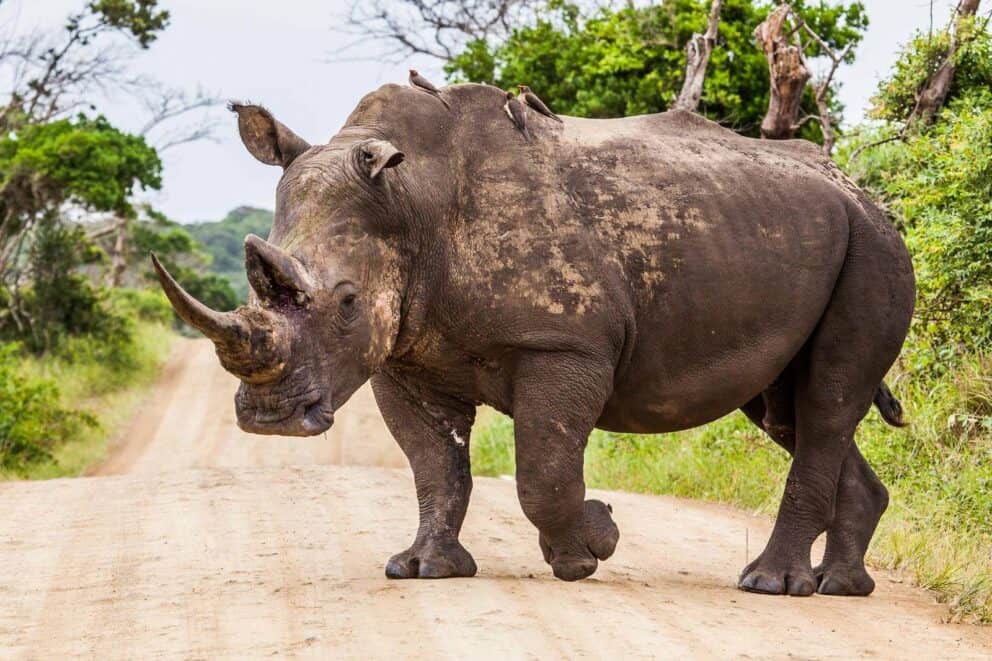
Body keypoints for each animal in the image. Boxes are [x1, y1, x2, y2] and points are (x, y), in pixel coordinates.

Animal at [153, 82, 915, 597]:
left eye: (345, 302)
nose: (270, 419)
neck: (411, 202)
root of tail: (864, 191)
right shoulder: (403, 355)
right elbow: (435, 465)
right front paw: (423, 569)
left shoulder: (563, 344)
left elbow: (542, 470)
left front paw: (592, 546)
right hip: (794, 239)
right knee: (788, 410)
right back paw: (840, 586)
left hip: (874, 249)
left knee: (825, 403)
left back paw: (769, 584)